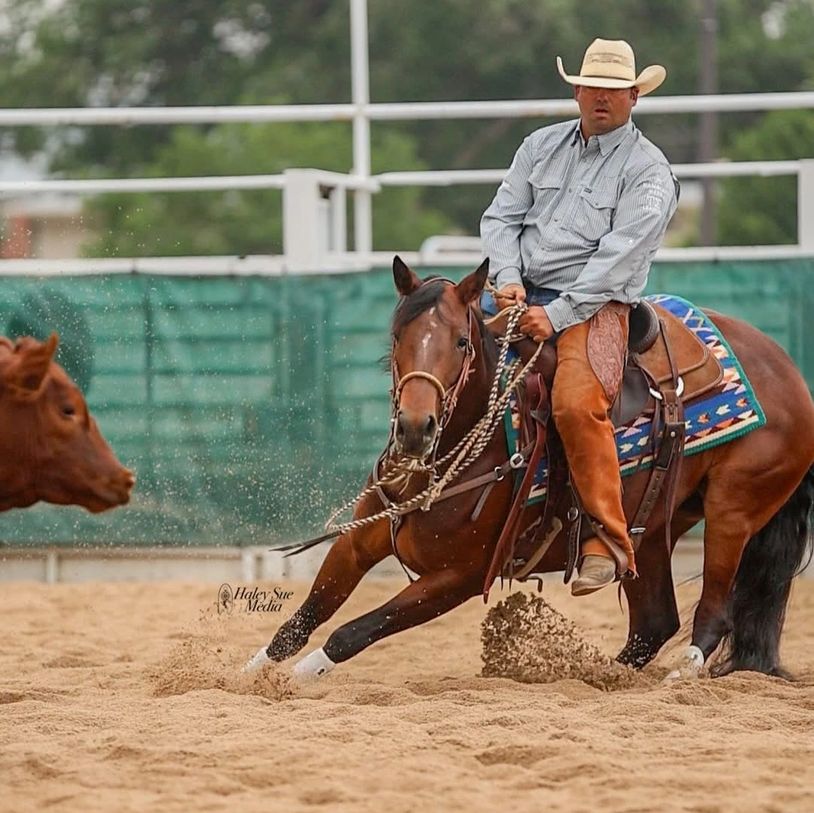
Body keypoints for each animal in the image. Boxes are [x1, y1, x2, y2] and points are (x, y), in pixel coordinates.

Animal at [246, 257, 814, 682]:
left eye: (460, 342)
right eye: (396, 337)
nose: (414, 428)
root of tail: (788, 368)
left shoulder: (459, 576)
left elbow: (353, 630)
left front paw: (297, 679)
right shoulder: (359, 541)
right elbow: (306, 615)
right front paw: (250, 675)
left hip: (732, 510)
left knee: (711, 614)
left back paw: (677, 674)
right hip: (648, 529)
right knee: (653, 623)